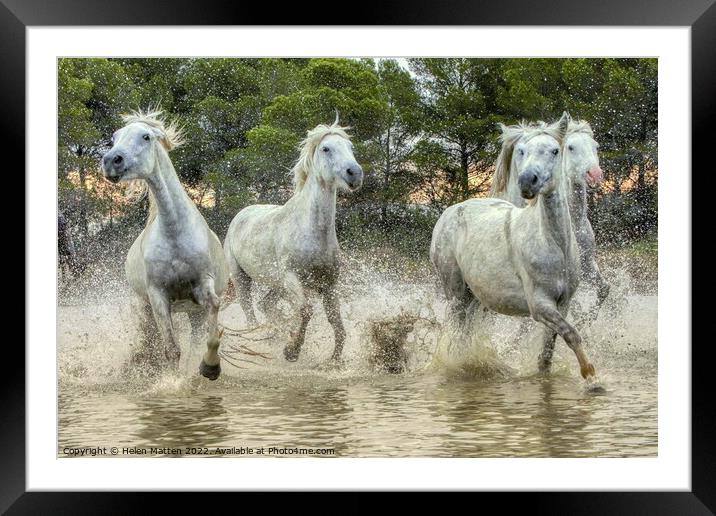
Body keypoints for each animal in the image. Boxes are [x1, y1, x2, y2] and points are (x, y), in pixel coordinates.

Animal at [100, 109, 228, 380]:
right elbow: (171, 349)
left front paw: (210, 367)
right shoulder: (157, 295)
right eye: (114, 137)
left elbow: (212, 324)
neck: (174, 232)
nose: (111, 161)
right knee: (153, 339)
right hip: (146, 306)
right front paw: (172, 383)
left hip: (194, 313)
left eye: (146, 136)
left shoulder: (203, 286)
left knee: (195, 342)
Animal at [224, 120, 364, 362]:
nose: (354, 173)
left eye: (350, 146)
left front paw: (334, 359)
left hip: (276, 284)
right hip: (241, 278)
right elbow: (305, 311)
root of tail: (241, 214)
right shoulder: (293, 278)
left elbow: (335, 321)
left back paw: (276, 333)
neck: (313, 232)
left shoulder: (329, 284)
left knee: (265, 304)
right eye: (326, 148)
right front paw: (292, 350)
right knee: (249, 310)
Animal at [430, 112, 592, 378]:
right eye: (522, 150)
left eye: (555, 150)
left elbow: (548, 351)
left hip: (476, 297)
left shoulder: (564, 303)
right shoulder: (539, 305)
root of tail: (449, 212)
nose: (527, 181)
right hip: (455, 294)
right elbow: (572, 333)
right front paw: (591, 375)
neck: (554, 244)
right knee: (454, 335)